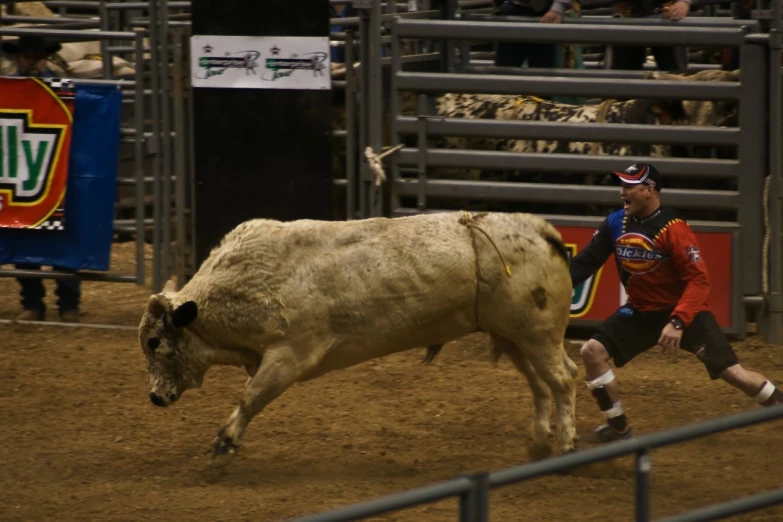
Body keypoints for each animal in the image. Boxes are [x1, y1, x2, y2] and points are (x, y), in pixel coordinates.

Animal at [138, 209, 580, 458]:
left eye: (155, 342)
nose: (154, 397)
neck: (246, 284)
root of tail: (541, 230)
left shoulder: (289, 357)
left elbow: (252, 398)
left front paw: (226, 440)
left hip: (537, 334)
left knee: (562, 380)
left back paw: (566, 444)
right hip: (513, 336)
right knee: (541, 383)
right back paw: (540, 441)